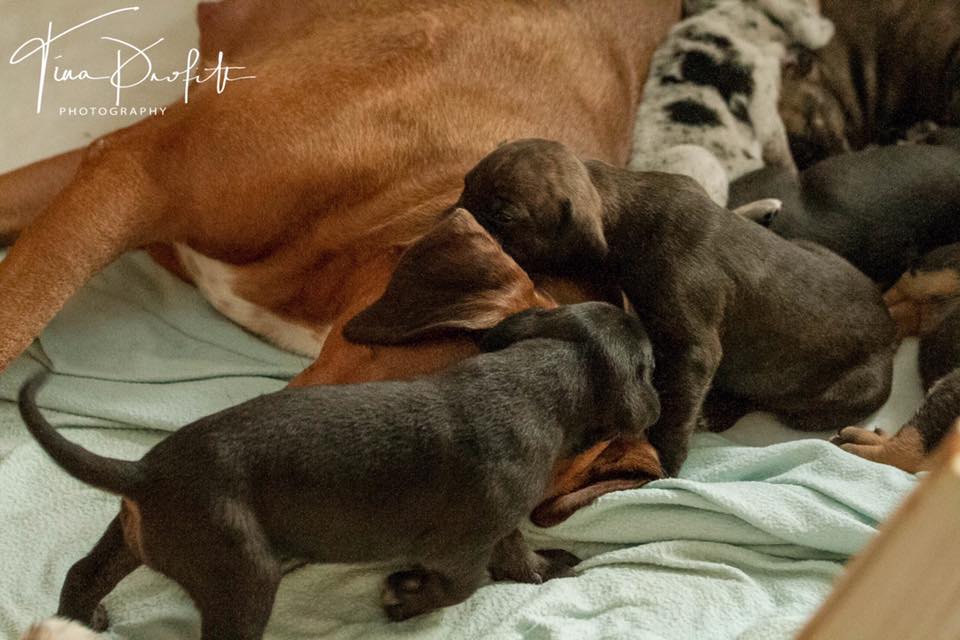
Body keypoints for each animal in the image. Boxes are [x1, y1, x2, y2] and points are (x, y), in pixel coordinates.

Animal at [17, 302, 661, 639]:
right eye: (652, 368)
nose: (659, 407)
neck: (541, 377)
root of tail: (143, 475)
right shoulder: (463, 545)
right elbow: (465, 585)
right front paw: (405, 599)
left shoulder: (499, 525)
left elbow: (518, 558)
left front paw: (549, 566)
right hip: (243, 579)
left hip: (131, 538)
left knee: (82, 573)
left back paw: (80, 620)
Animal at [457, 138, 896, 476]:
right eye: (465, 183)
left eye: (503, 215)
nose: (451, 215)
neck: (625, 204)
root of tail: (890, 328)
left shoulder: (693, 348)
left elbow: (676, 407)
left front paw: (665, 459)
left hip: (834, 399)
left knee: (773, 401)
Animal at [835, 244, 960, 472]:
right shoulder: (953, 387)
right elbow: (911, 449)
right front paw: (856, 442)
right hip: (939, 272)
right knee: (897, 291)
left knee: (903, 312)